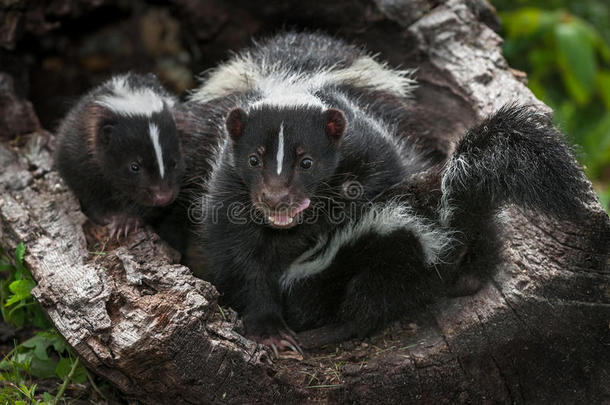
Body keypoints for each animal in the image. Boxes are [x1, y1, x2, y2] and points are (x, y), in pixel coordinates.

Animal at [57, 73, 185, 238]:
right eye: (134, 166)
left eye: (174, 163)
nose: (164, 197)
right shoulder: (77, 149)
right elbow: (83, 184)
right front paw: (107, 215)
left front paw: (126, 221)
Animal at [186, 33, 588, 352]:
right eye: (253, 160)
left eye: (308, 162)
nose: (276, 198)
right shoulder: (227, 182)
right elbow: (238, 256)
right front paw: (270, 330)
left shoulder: (374, 153)